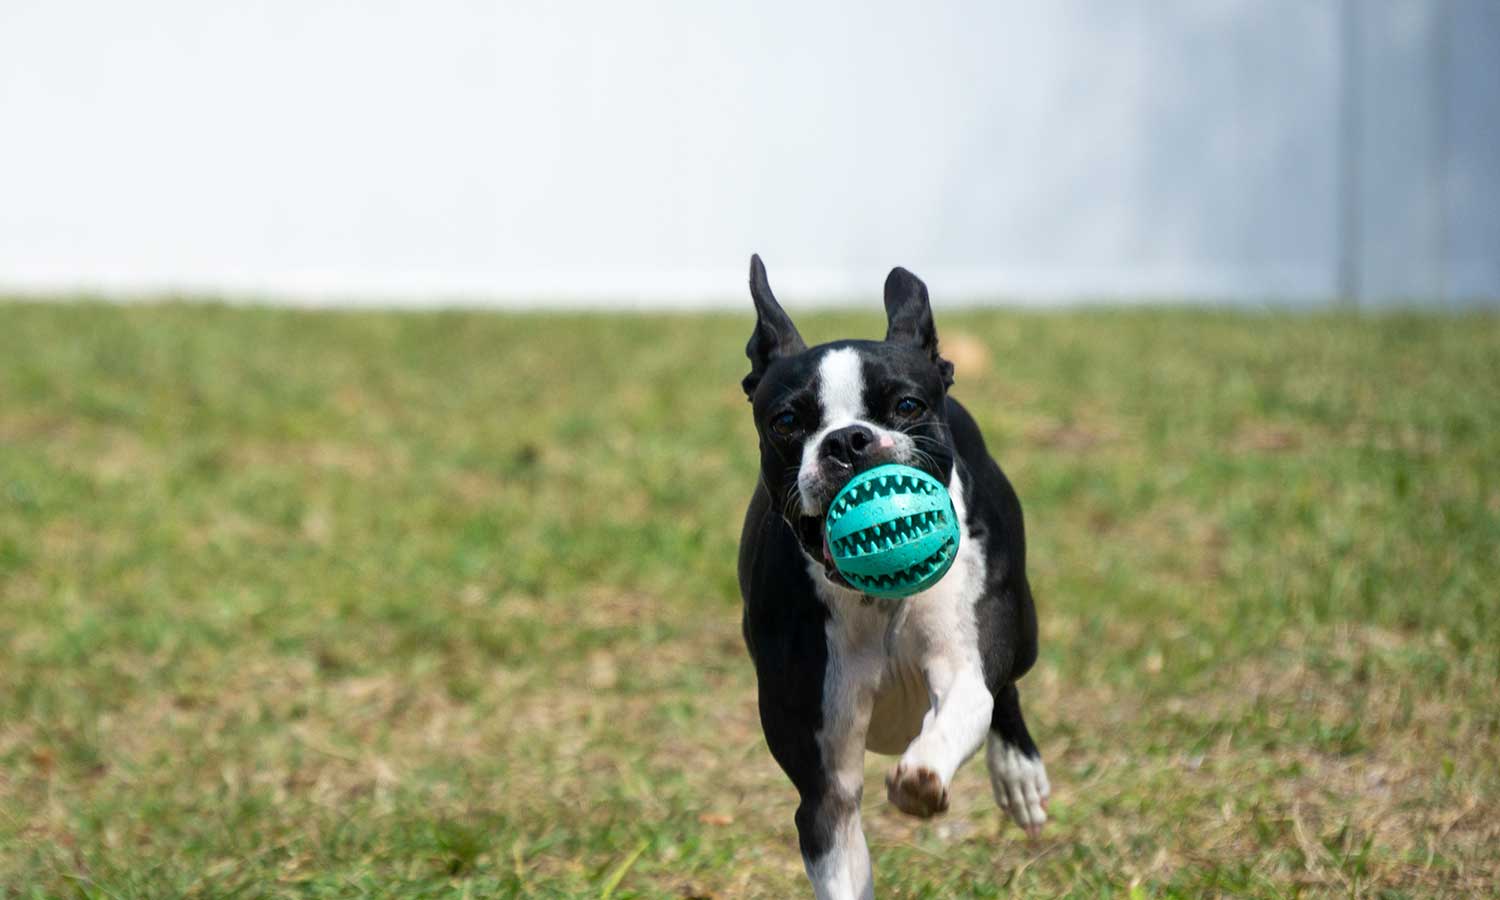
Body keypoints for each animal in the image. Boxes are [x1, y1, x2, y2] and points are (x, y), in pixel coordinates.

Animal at [735, 255, 1044, 900]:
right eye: (786, 421)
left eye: (906, 406)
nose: (849, 440)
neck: (877, 602)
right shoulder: (825, 792)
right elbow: (836, 833)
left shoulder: (961, 661)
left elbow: (967, 703)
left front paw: (923, 776)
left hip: (1022, 628)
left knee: (1005, 688)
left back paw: (1018, 772)